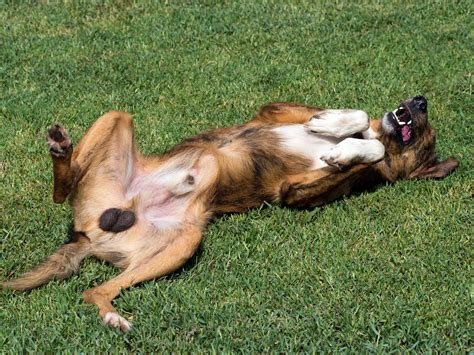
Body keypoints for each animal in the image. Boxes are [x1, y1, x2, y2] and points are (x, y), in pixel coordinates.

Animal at [1, 94, 458, 330]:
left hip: (184, 242)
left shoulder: (294, 194)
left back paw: (113, 317)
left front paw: (348, 149)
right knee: (62, 190)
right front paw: (333, 128)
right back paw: (61, 147)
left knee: (94, 289)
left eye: (424, 136)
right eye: (424, 120)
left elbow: (372, 151)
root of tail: (86, 233)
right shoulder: (274, 110)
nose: (420, 99)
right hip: (118, 118)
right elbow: (355, 117)